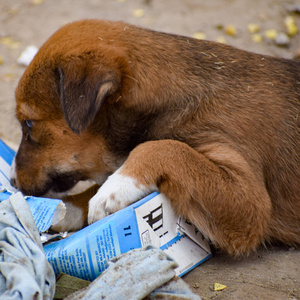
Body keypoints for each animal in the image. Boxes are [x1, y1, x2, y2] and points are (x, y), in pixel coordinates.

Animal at [10, 19, 298, 256]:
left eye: (28, 124)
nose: (11, 181)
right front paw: (65, 208)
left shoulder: (250, 202)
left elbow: (163, 147)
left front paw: (115, 189)